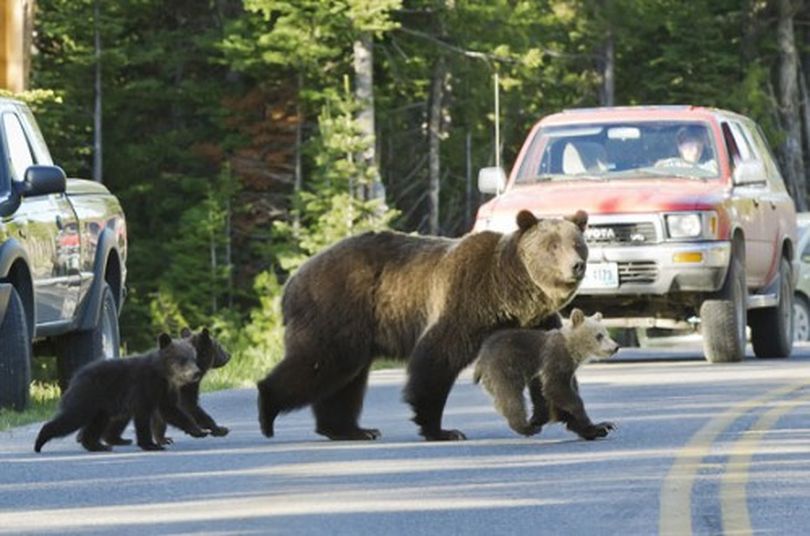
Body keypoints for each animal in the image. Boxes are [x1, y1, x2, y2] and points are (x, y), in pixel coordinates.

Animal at [34, 336, 208, 452]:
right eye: (182, 359)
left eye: (194, 358)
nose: (196, 373)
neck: (164, 375)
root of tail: (75, 376)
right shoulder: (143, 387)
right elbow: (143, 418)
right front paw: (150, 444)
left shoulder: (165, 391)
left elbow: (172, 411)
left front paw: (199, 431)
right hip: (87, 396)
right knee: (72, 417)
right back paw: (40, 442)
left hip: (101, 407)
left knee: (97, 423)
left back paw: (98, 445)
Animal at [99, 328, 230, 446]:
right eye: (219, 346)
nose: (229, 355)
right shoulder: (184, 385)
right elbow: (189, 406)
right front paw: (217, 429)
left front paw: (163, 438)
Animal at [258, 208, 588, 440]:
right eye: (552, 246)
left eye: (577, 243)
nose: (577, 265)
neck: (512, 296)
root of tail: (292, 281)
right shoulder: (465, 303)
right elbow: (436, 358)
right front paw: (441, 429)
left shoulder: (539, 324)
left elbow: (556, 374)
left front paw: (584, 424)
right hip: (337, 308)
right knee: (322, 362)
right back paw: (267, 409)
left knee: (346, 378)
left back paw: (351, 429)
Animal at [470, 308, 616, 442]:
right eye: (599, 335)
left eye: (607, 333)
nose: (615, 347)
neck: (572, 349)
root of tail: (481, 357)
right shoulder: (555, 358)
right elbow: (556, 387)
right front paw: (581, 415)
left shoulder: (558, 370)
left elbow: (553, 393)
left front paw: (600, 427)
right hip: (504, 366)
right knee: (510, 395)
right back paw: (527, 427)